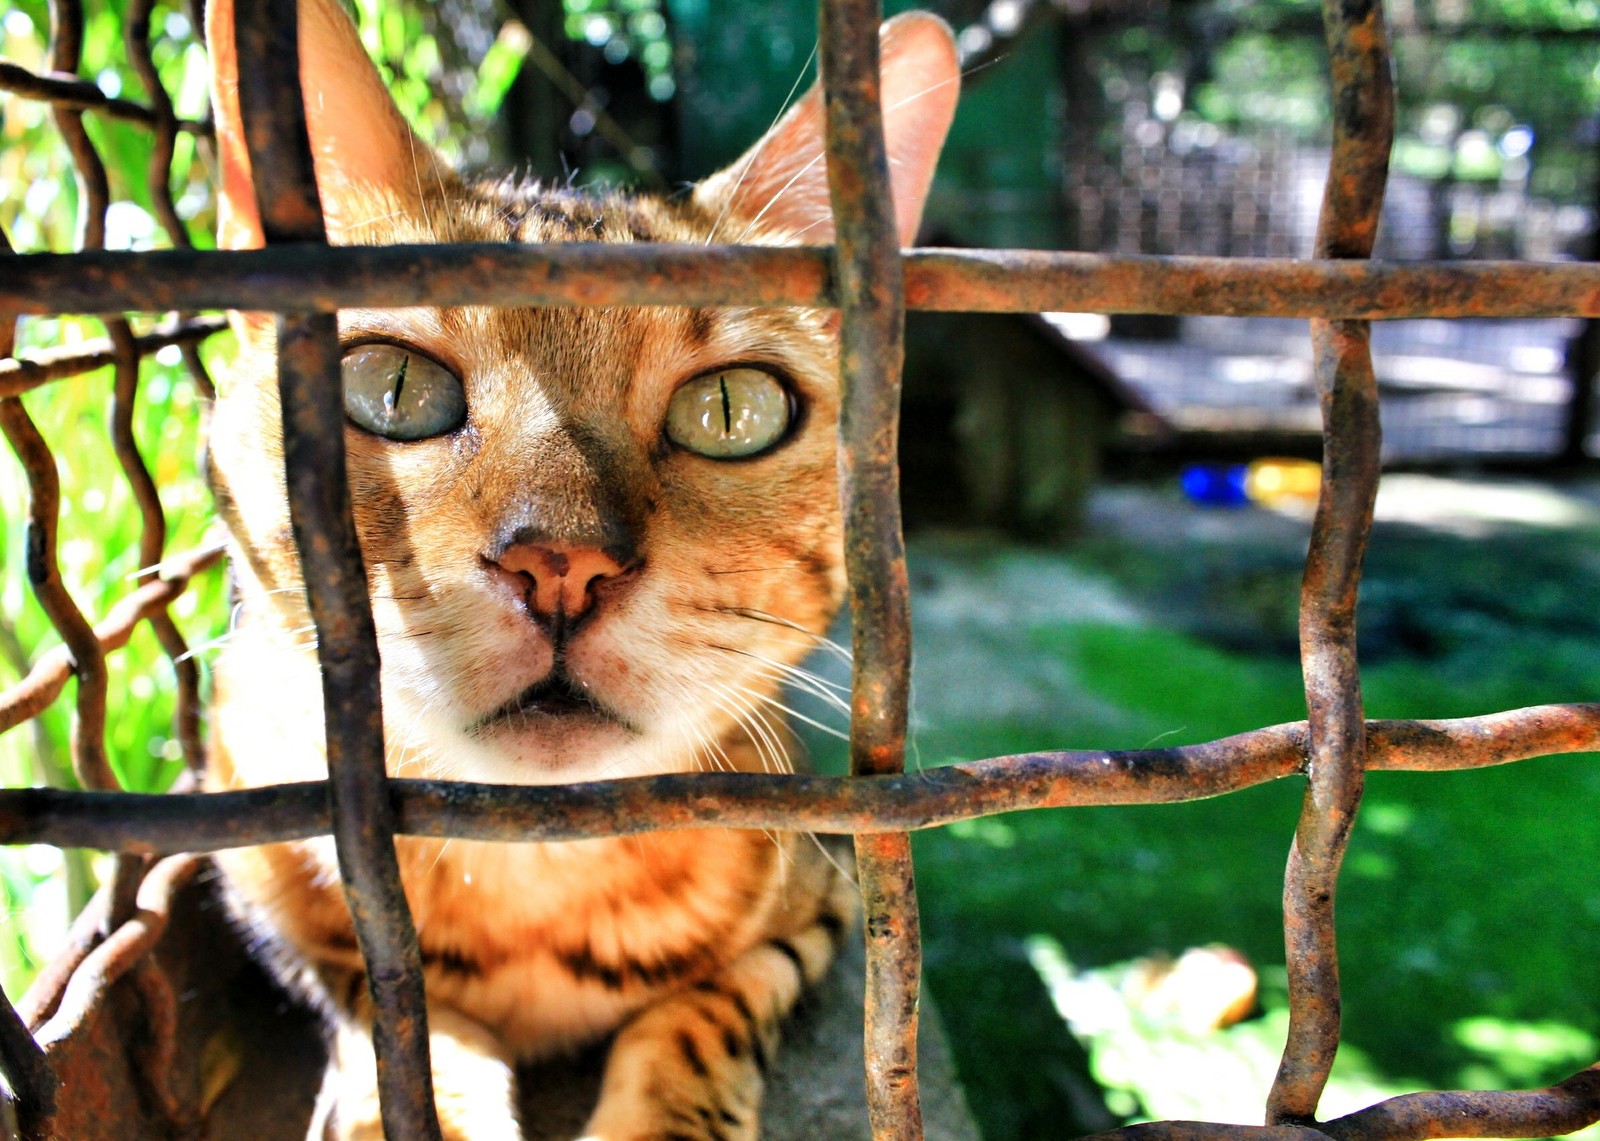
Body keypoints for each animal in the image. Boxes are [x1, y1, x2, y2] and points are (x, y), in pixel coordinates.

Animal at [198, 0, 947, 1132]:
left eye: (732, 409)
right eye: (394, 387)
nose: (560, 563)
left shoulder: (819, 907)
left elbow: (704, 1015)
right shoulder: (279, 905)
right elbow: (395, 1020)